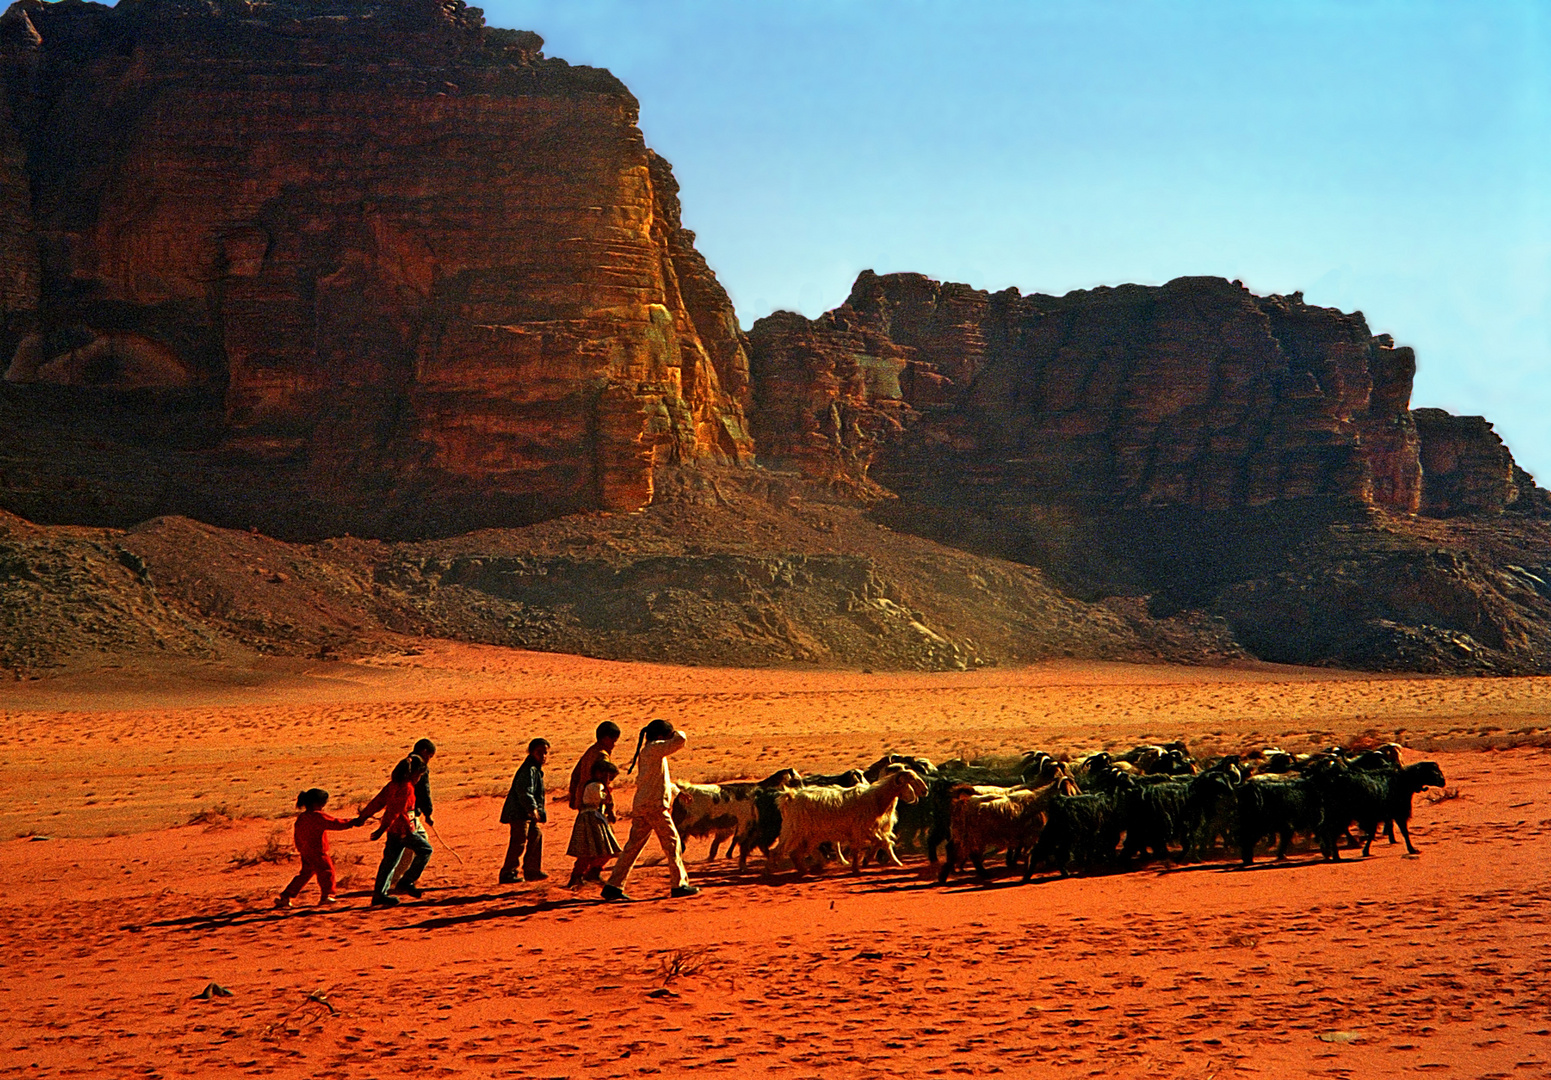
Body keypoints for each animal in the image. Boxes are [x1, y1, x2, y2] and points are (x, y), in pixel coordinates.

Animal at [781, 760, 924, 875]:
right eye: (911, 780)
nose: (925, 791)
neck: (877, 798)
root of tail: (792, 798)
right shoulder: (864, 829)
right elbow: (881, 843)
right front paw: (892, 862)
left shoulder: (868, 830)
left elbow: (876, 844)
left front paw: (860, 864)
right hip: (800, 832)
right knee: (795, 853)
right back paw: (805, 870)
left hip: (811, 835)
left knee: (799, 853)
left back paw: (810, 868)